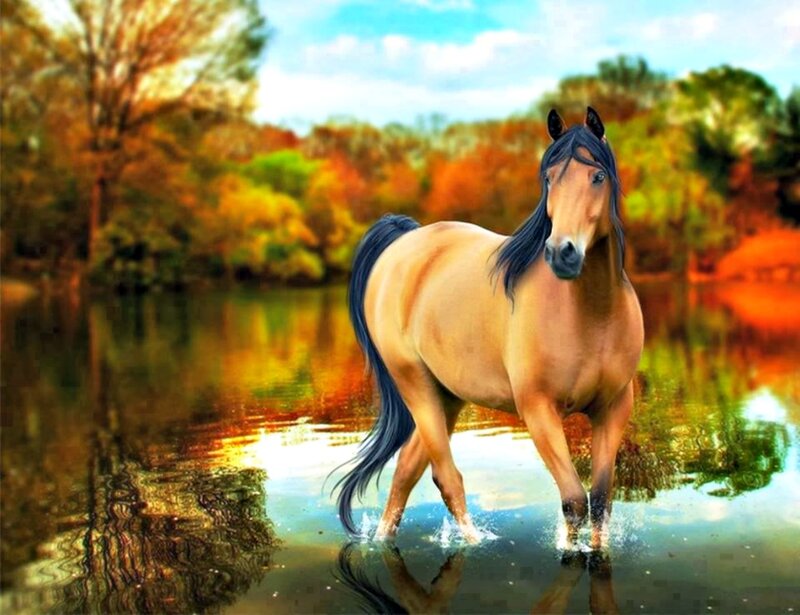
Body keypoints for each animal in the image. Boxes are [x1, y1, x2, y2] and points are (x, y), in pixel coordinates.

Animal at [335, 107, 644, 548]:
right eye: (549, 179)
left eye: (598, 176)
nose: (561, 253)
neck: (592, 314)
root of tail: (402, 244)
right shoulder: (538, 410)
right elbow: (572, 500)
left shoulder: (614, 408)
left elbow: (600, 501)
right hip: (415, 384)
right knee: (446, 478)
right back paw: (473, 542)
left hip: (446, 395)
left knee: (406, 472)